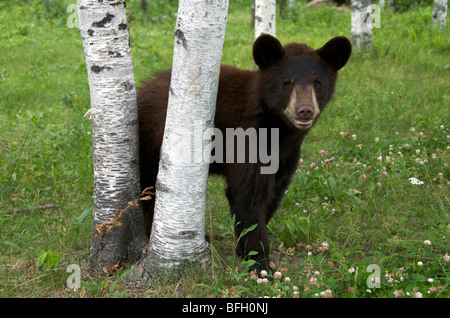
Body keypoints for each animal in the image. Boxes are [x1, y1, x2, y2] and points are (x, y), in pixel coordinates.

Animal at [137, 34, 352, 268]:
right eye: (287, 83)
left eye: (317, 83)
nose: (305, 110)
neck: (277, 130)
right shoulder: (245, 140)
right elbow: (247, 196)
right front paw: (260, 263)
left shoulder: (286, 157)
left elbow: (272, 195)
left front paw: (245, 250)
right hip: (149, 145)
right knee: (148, 192)